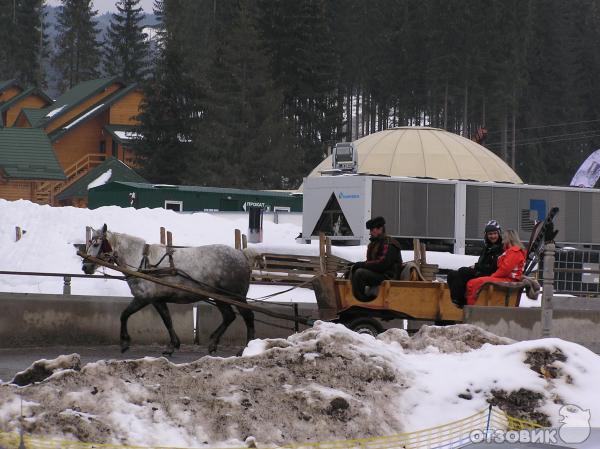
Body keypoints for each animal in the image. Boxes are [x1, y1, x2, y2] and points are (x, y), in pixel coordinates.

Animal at [81, 223, 258, 354]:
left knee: (248, 317)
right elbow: (167, 320)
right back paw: (214, 343)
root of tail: (242, 255)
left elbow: (124, 315)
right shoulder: (158, 300)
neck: (141, 261)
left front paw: (124, 342)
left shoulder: (144, 298)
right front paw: (173, 345)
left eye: (96, 244)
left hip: (236, 296)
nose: (85, 267)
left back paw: (247, 348)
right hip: (219, 296)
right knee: (229, 316)